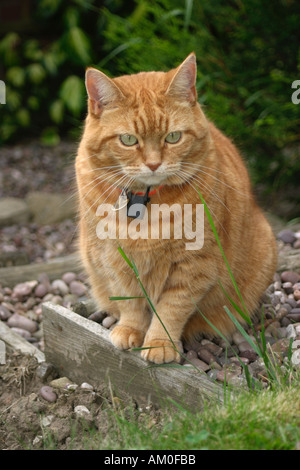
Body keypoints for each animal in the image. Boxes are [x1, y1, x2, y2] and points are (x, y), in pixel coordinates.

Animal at [75, 53, 276, 366]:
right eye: (128, 140)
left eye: (173, 137)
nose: (153, 164)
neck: (145, 203)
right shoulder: (112, 258)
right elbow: (130, 301)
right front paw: (130, 330)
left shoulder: (195, 264)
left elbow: (171, 308)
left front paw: (159, 343)